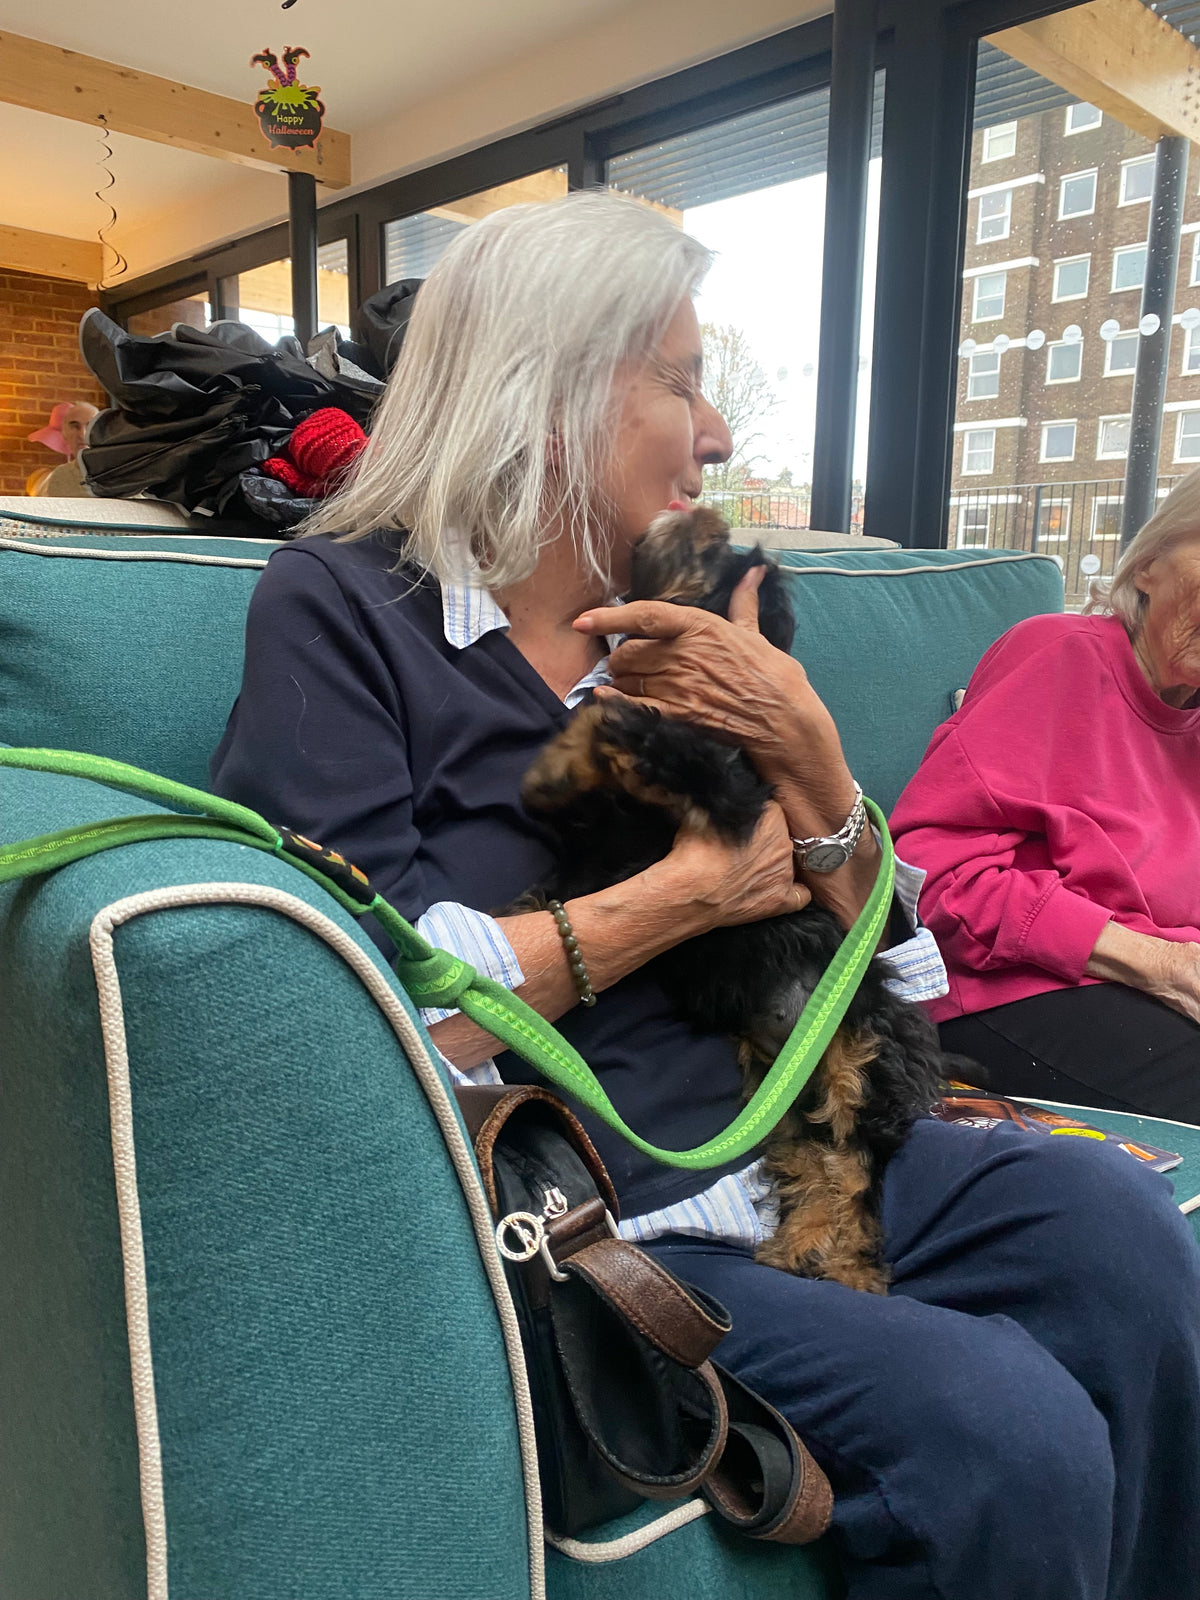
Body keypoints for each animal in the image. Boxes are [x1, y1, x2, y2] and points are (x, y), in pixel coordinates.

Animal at [518, 505, 947, 1292]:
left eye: (715, 554)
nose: (701, 510)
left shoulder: (725, 789)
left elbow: (639, 732)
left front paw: (587, 738)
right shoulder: (614, 834)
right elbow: (590, 833)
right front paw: (550, 811)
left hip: (859, 1057)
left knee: (857, 1168)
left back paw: (850, 1268)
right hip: (783, 1097)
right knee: (815, 1159)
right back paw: (800, 1248)